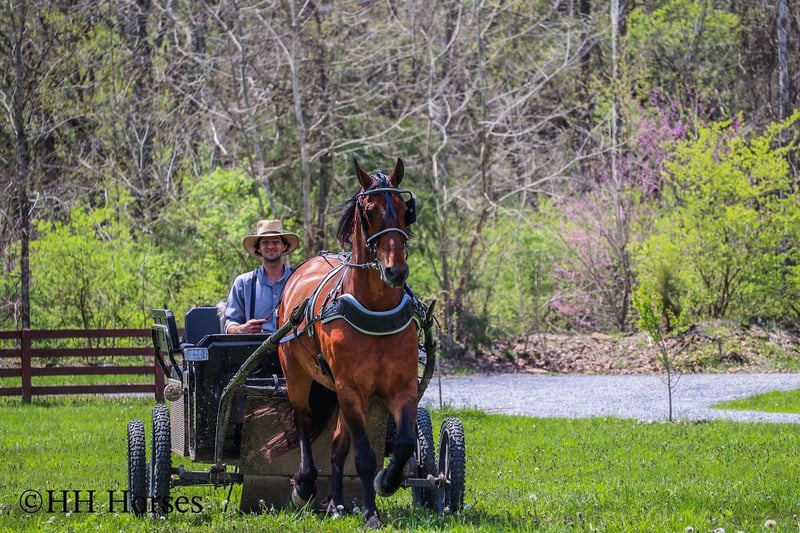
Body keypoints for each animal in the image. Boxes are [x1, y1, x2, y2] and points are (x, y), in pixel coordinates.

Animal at [276, 158, 421, 528]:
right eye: (369, 211)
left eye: (405, 210)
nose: (396, 271)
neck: (375, 310)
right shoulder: (352, 389)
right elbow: (365, 456)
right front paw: (371, 513)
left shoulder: (402, 388)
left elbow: (403, 443)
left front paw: (387, 481)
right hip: (298, 375)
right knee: (303, 420)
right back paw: (305, 485)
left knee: (337, 447)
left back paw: (336, 505)